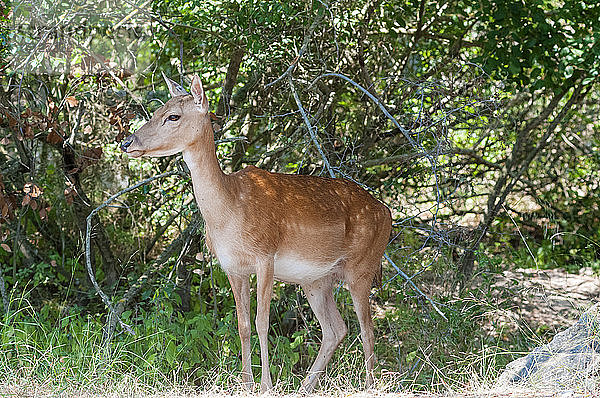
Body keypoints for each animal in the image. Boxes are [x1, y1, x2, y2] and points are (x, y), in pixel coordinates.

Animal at [122, 73, 394, 394]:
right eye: (155, 111)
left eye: (173, 116)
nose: (127, 142)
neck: (229, 212)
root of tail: (388, 213)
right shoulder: (232, 267)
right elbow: (241, 324)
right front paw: (244, 382)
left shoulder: (265, 255)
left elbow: (262, 321)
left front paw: (266, 385)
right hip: (316, 280)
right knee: (336, 328)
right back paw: (304, 387)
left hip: (363, 266)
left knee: (367, 327)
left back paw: (369, 385)